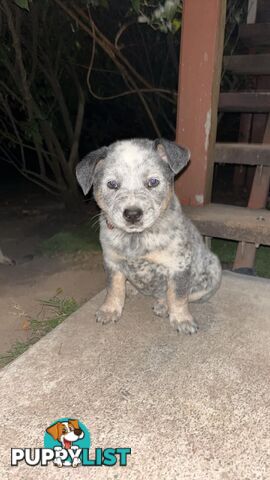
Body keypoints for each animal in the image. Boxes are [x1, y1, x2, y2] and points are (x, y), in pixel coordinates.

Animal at [76, 139, 221, 334]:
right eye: (112, 184)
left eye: (153, 182)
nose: (132, 214)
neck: (136, 239)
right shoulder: (112, 261)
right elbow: (113, 288)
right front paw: (110, 309)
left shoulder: (179, 265)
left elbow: (178, 294)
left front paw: (182, 319)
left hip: (213, 269)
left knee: (177, 295)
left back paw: (163, 306)